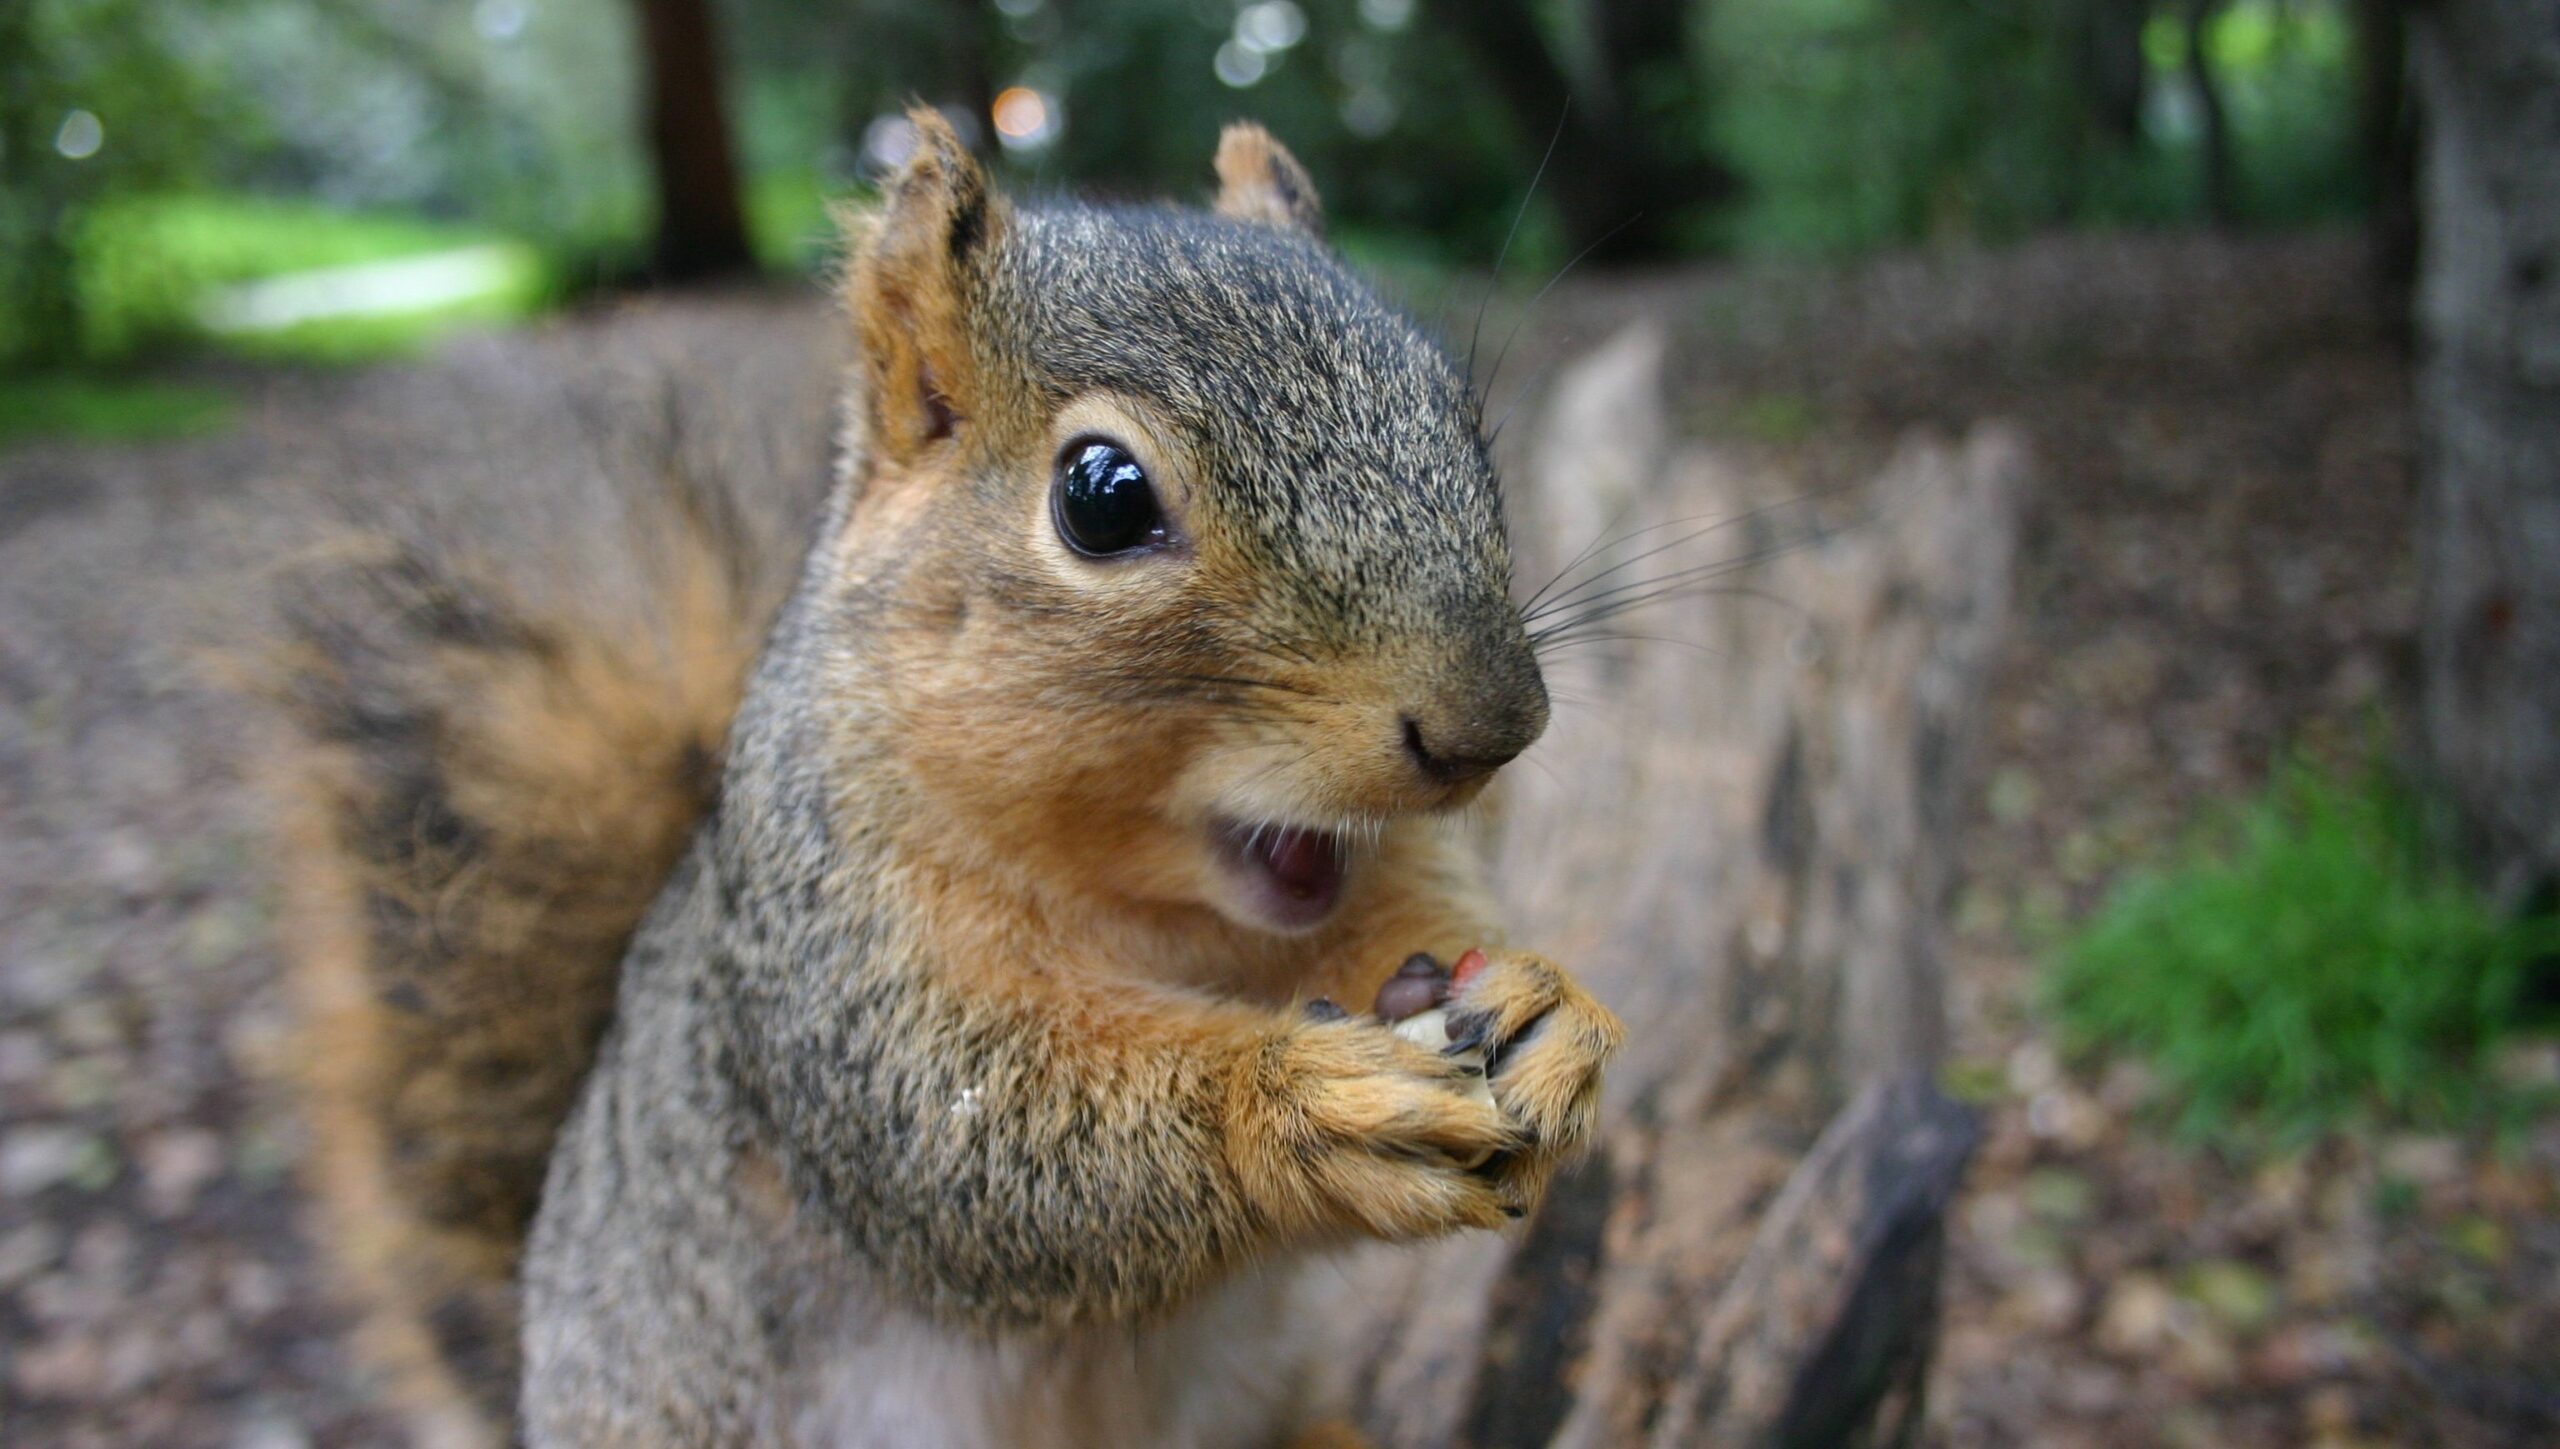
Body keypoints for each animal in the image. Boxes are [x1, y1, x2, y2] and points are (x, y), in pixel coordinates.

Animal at [261, 112, 1623, 1449]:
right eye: (1101, 497)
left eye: (1456, 414)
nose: (1492, 726)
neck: (1170, 922)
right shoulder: (830, 965)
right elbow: (973, 1150)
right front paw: (1290, 1103)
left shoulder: (1383, 872)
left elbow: (1427, 927)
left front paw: (1548, 1013)